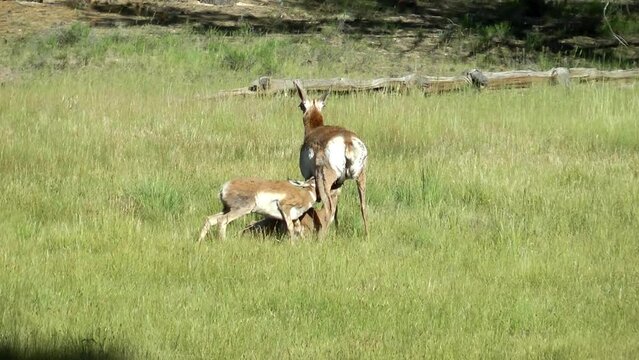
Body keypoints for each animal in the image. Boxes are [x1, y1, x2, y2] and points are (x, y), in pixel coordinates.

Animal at [292, 80, 368, 236]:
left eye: (301, 105)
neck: (315, 129)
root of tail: (347, 140)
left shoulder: (307, 177)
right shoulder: (339, 184)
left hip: (323, 179)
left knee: (329, 208)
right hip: (361, 177)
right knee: (363, 206)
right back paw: (367, 236)